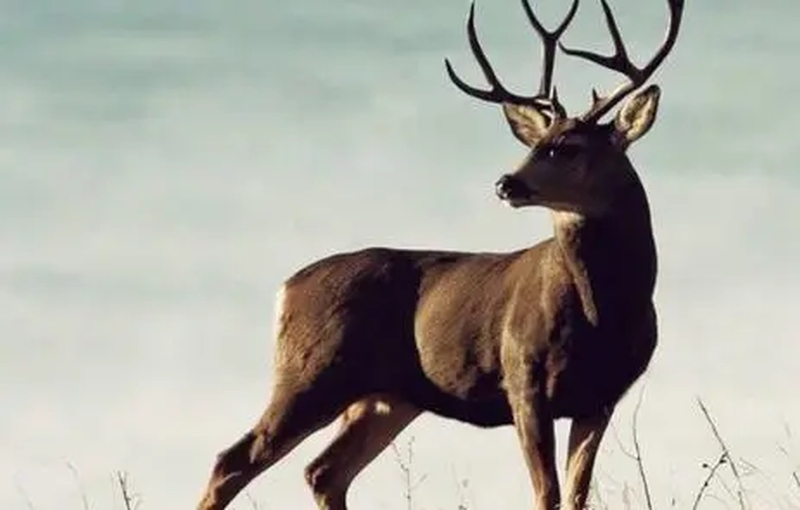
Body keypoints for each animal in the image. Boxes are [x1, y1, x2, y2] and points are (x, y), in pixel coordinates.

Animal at [197, 0, 684, 508]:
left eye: (569, 147)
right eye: (534, 143)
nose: (506, 182)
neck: (602, 314)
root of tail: (286, 288)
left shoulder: (601, 398)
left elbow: (574, 496)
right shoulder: (523, 378)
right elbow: (546, 495)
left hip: (386, 397)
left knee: (324, 470)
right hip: (311, 371)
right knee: (233, 461)